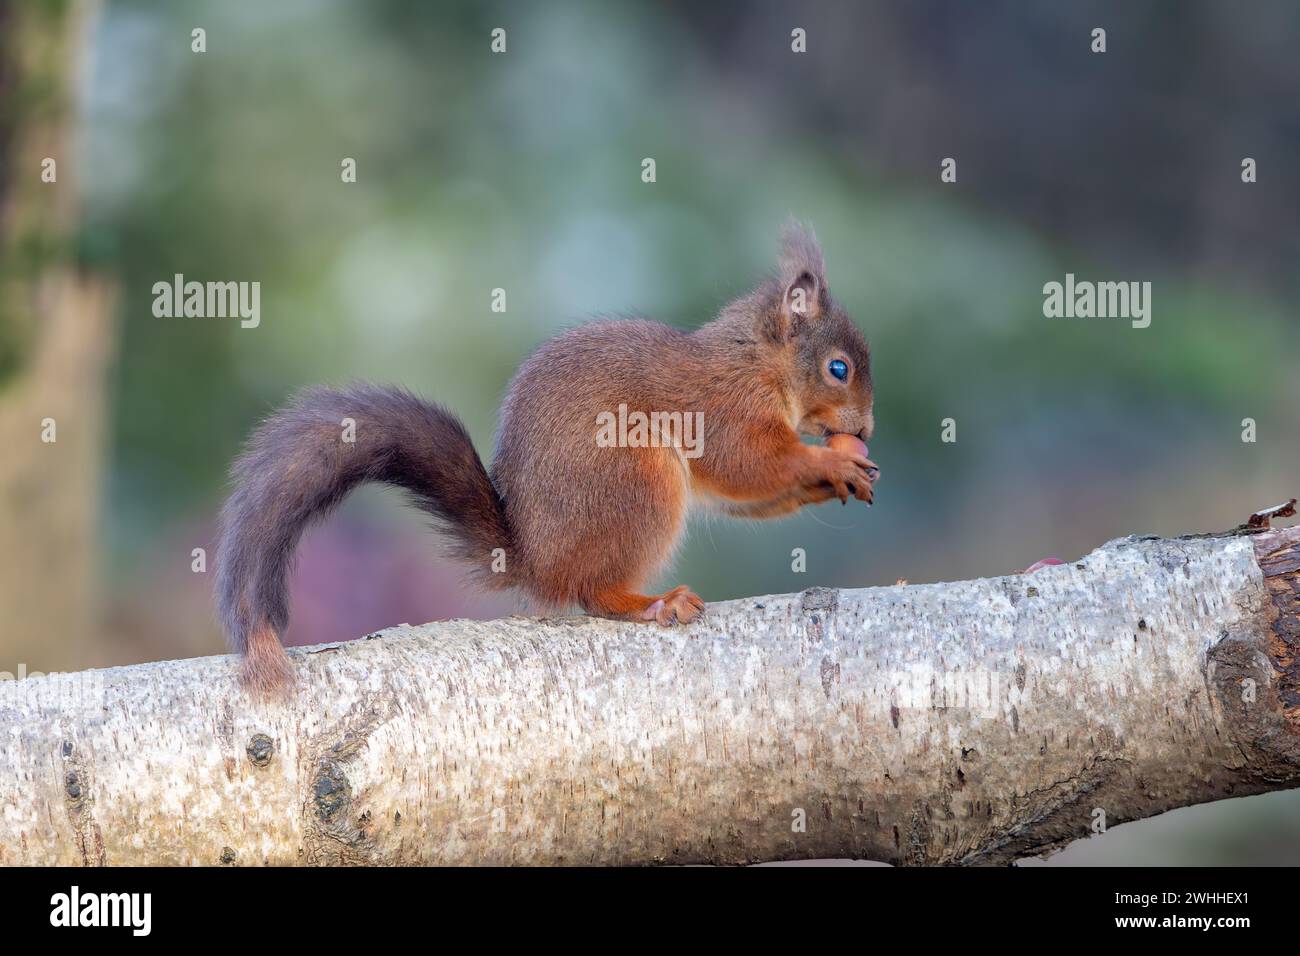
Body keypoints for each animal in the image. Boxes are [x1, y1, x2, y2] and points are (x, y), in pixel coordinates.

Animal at [218, 223, 878, 697]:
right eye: (838, 368)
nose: (866, 430)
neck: (759, 363)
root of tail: (534, 558)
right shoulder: (725, 411)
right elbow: (750, 465)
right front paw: (828, 464)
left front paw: (842, 477)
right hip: (638, 481)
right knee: (592, 594)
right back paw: (652, 604)